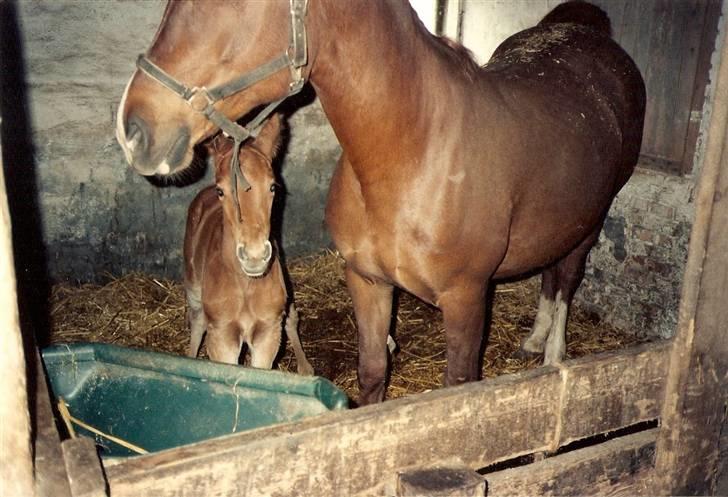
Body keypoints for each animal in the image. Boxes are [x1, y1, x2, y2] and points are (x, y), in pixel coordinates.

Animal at [183, 115, 312, 372]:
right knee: (197, 319)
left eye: (272, 187)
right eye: (221, 191)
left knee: (291, 316)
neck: (245, 285)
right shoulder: (221, 336)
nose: (254, 256)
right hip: (193, 285)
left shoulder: (268, 332)